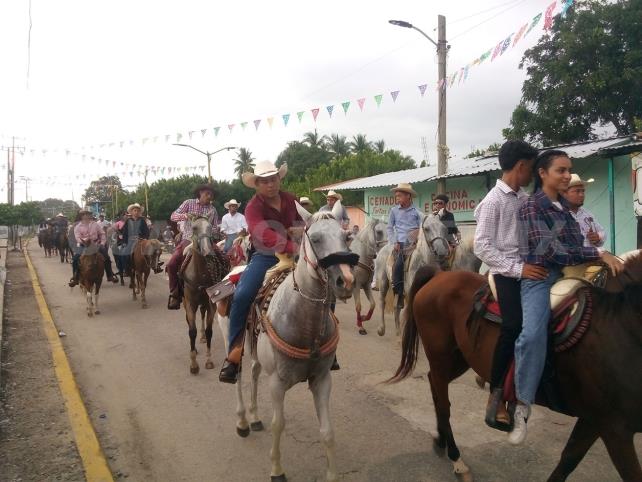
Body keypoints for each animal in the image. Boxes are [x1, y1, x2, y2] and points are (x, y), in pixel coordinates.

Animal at [216, 201, 356, 482]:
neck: (304, 320)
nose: (345, 281)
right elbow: (278, 425)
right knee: (238, 376)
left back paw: (254, 417)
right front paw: (277, 470)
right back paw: (242, 422)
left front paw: (332, 474)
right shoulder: (277, 383)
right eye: (315, 239)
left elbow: (327, 431)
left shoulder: (322, 379)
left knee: (254, 371)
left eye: (346, 237)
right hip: (230, 339)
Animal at [384, 252, 640, 482]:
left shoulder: (594, 421)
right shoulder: (612, 427)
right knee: (443, 401)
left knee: (435, 386)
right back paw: (458, 460)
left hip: (460, 358)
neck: (618, 324)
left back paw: (441, 442)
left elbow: (568, 460)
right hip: (441, 356)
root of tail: (438, 276)